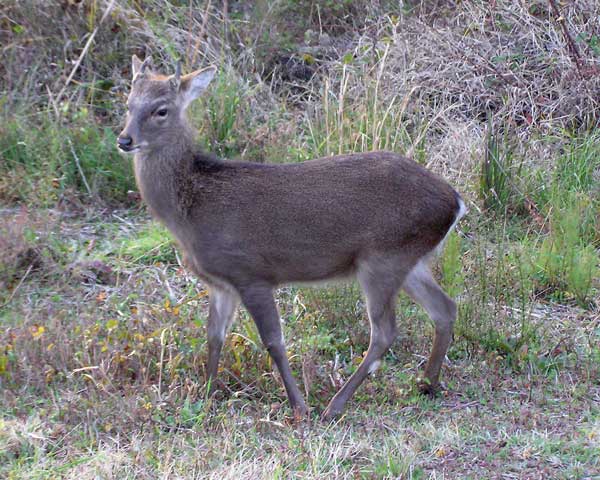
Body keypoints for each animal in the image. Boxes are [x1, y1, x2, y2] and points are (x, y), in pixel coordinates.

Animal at [116, 56, 464, 418]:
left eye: (161, 110)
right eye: (128, 104)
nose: (124, 140)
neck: (191, 213)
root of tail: (455, 201)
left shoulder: (250, 273)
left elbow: (273, 341)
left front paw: (298, 405)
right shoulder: (221, 284)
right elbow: (214, 335)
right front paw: (206, 395)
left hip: (382, 259)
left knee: (384, 332)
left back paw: (335, 405)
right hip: (409, 260)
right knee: (445, 308)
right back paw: (427, 384)